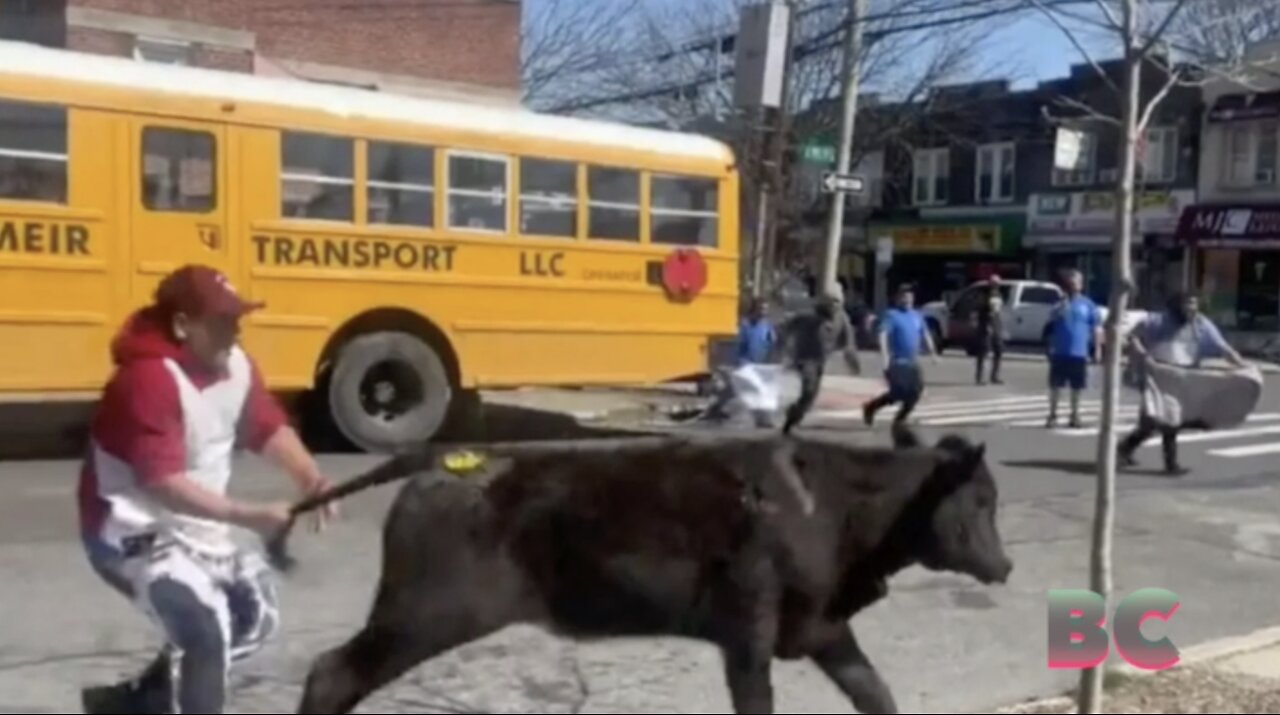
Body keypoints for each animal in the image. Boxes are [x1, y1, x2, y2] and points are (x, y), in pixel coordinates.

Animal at [270, 427, 1008, 711]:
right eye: (982, 499)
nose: (1005, 564)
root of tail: (437, 458)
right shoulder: (748, 631)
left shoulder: (823, 627)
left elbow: (875, 692)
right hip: (426, 611)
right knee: (333, 671)